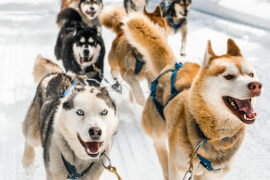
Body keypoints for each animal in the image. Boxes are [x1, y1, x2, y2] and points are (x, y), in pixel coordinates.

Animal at [124, 14, 262, 180]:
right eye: (229, 76)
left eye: (251, 74)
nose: (256, 85)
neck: (210, 136)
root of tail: (173, 66)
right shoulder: (178, 168)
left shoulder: (211, 175)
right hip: (159, 135)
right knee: (162, 152)